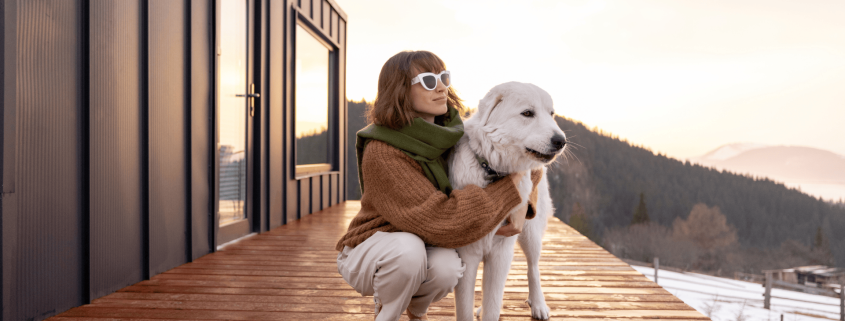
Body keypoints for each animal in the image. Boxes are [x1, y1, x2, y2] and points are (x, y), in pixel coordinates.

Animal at [452, 81, 564, 318]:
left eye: (551, 114)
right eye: (527, 113)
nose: (561, 141)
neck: (493, 172)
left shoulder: (501, 252)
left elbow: (494, 307)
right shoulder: (467, 255)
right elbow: (466, 308)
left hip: (530, 234)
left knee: (533, 268)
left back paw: (539, 305)